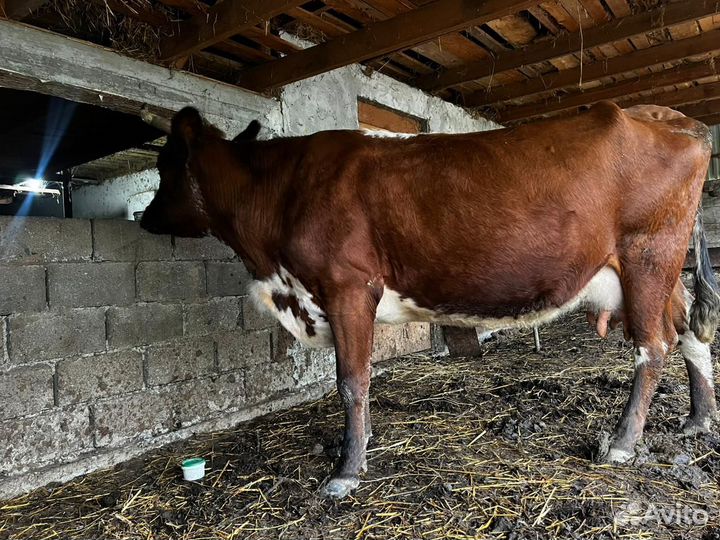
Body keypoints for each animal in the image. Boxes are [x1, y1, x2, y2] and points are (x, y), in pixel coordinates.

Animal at [139, 101, 719, 499]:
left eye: (165, 164)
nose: (143, 219)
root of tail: (666, 115)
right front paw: (362, 445)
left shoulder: (347, 286)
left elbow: (352, 380)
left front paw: (346, 470)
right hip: (659, 270)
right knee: (688, 331)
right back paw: (698, 419)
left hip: (648, 255)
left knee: (653, 348)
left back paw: (622, 442)